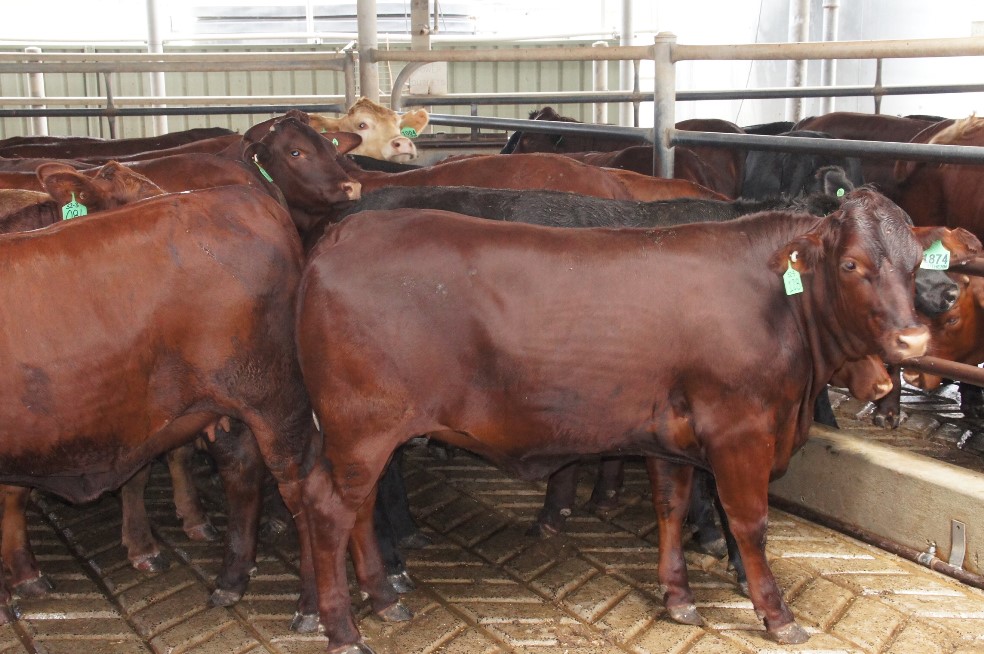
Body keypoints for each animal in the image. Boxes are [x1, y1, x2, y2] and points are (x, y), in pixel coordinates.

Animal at [0, 184, 320, 624]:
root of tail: (247, 195)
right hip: (226, 408)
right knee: (242, 473)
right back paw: (231, 580)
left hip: (277, 404)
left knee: (306, 489)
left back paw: (311, 603)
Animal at [293, 190, 980, 651]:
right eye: (851, 265)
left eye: (915, 262)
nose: (914, 340)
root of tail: (345, 232)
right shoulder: (739, 432)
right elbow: (749, 524)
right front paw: (776, 614)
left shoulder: (670, 439)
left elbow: (671, 508)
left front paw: (678, 600)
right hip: (362, 429)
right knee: (327, 508)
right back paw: (343, 627)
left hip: (364, 438)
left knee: (355, 509)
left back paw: (383, 599)